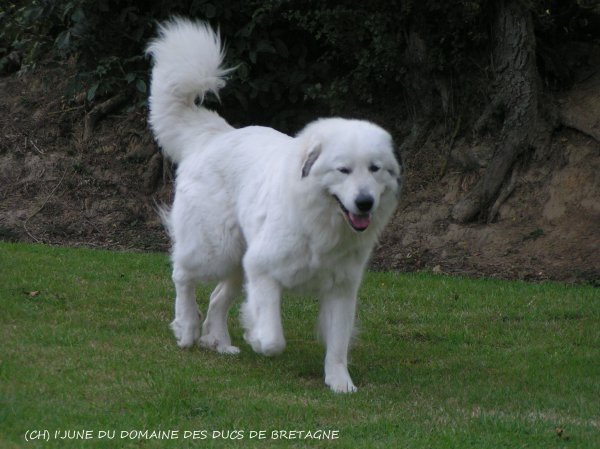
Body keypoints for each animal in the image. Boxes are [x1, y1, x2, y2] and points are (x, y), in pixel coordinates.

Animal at [146, 17, 404, 392]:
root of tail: (215, 134)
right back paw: (187, 327)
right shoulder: (263, 270)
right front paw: (256, 335)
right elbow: (273, 339)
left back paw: (218, 341)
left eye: (374, 169)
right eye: (343, 170)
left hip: (237, 259)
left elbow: (338, 344)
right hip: (217, 249)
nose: (365, 202)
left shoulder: (341, 289)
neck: (320, 221)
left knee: (217, 296)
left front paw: (340, 382)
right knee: (183, 275)